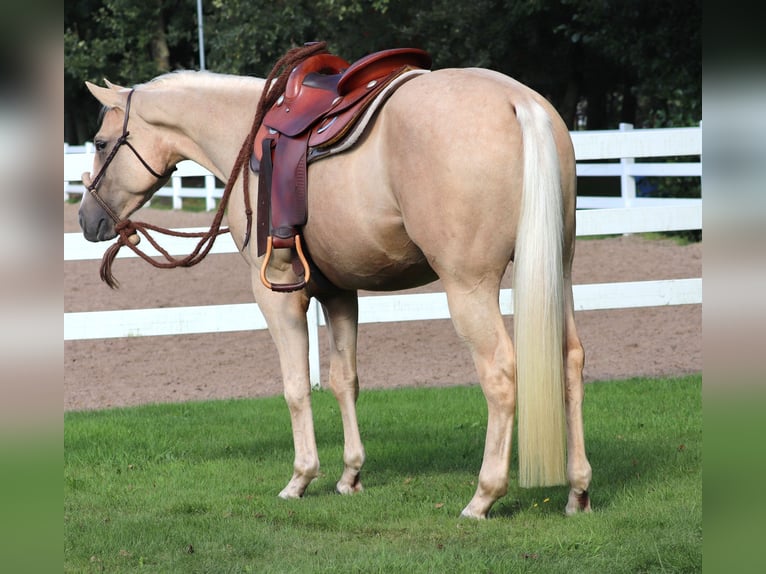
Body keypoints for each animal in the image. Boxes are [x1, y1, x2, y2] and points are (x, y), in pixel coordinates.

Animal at [78, 54, 592, 520]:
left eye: (101, 143)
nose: (87, 220)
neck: (247, 138)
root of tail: (518, 101)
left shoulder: (278, 295)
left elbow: (296, 386)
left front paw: (300, 479)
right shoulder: (338, 292)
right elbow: (345, 381)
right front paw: (350, 476)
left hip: (469, 286)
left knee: (501, 374)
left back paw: (482, 497)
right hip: (560, 273)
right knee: (570, 362)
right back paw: (578, 490)